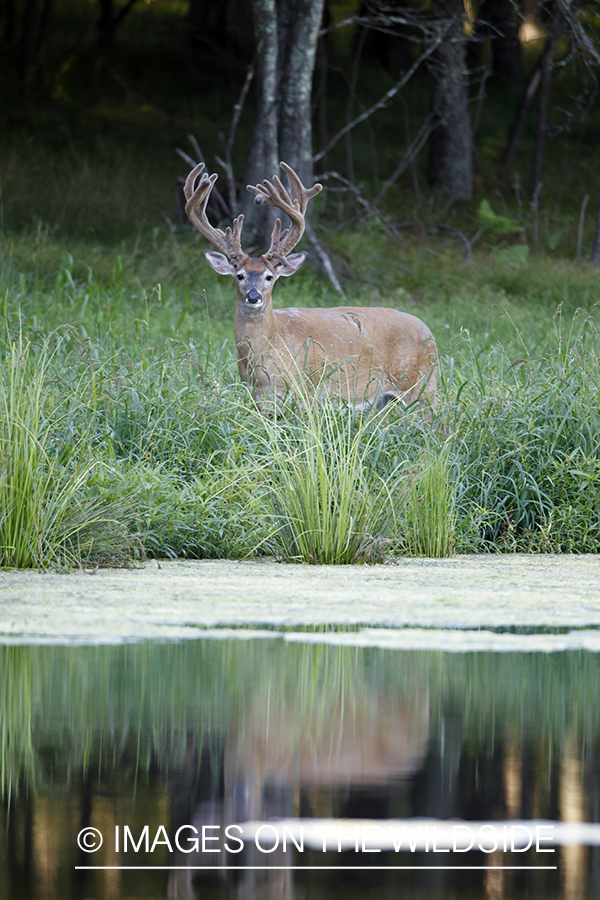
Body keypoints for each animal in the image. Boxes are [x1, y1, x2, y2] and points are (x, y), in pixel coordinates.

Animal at [182, 161, 436, 414]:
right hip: (384, 401)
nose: (253, 297)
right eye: (239, 275)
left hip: (423, 388)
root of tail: (429, 333)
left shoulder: (303, 391)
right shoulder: (256, 396)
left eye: (269, 277)